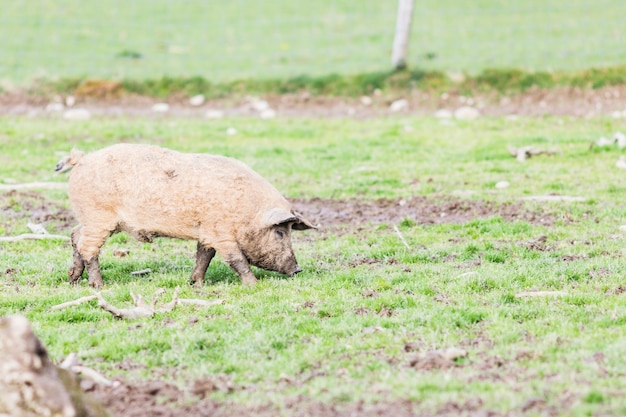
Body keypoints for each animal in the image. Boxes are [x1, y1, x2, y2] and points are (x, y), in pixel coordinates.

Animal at [56, 143, 314, 286]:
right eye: (280, 232)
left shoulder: (207, 232)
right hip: (98, 216)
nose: (297, 269)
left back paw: (73, 280)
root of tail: (81, 161)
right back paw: (98, 286)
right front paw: (253, 284)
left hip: (90, 218)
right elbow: (236, 259)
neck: (247, 211)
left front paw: (196, 284)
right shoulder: (220, 231)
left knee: (75, 236)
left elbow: (204, 256)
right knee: (88, 248)